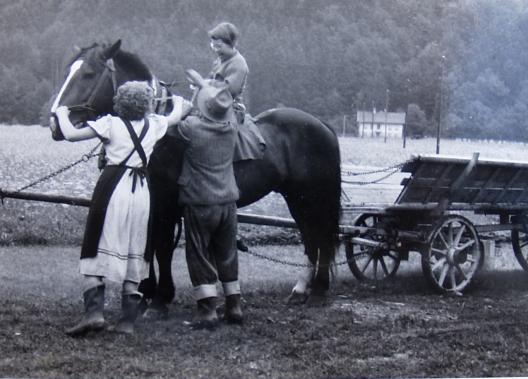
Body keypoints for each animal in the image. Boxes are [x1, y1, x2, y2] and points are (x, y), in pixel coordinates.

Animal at [49, 40, 342, 312]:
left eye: (88, 73)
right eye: (67, 72)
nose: (55, 123)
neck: (160, 131)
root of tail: (321, 125)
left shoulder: (166, 205)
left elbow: (162, 247)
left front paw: (161, 297)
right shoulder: (153, 203)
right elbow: (151, 246)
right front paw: (149, 292)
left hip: (312, 198)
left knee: (320, 238)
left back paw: (318, 290)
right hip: (297, 198)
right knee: (311, 238)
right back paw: (301, 289)